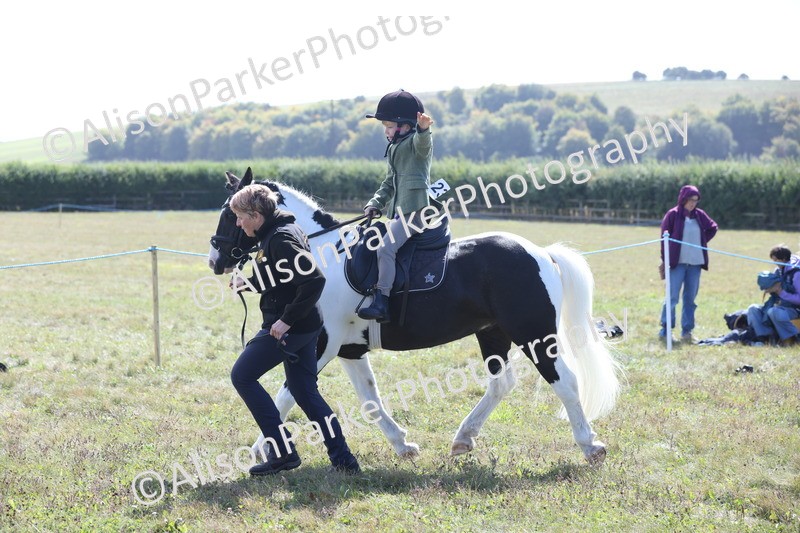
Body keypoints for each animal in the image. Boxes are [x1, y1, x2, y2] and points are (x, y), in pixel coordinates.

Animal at [208, 168, 622, 465]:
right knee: (501, 384)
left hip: (534, 334)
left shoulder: (320, 345)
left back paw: (590, 446)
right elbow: (370, 400)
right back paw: (463, 439)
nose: (215, 260)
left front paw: (260, 450)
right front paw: (403, 445)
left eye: (230, 213)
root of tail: (541, 253)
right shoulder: (349, 350)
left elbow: (286, 395)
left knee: (565, 381)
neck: (319, 254)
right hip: (493, 333)